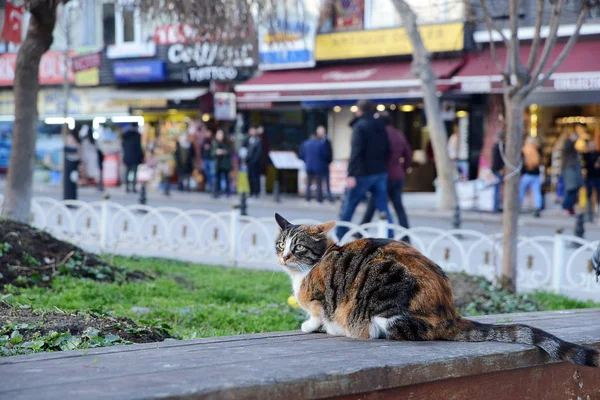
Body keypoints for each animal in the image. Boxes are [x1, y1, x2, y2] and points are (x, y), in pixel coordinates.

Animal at [276, 214, 600, 368]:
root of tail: (450, 313)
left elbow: (318, 314)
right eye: (280, 244)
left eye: (298, 247)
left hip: (383, 294)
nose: (283, 257)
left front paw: (313, 326)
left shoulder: (320, 299)